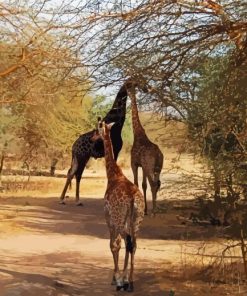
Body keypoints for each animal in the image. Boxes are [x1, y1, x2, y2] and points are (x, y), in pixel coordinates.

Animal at [97, 119, 145, 292]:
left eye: (96, 130)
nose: (93, 137)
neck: (113, 175)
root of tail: (132, 197)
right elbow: (122, 244)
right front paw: (120, 277)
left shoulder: (109, 217)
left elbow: (113, 244)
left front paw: (115, 278)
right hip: (136, 219)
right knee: (133, 244)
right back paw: (130, 282)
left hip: (119, 219)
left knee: (124, 242)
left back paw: (123, 282)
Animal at [127, 84, 164, 214]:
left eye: (129, 86)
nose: (126, 91)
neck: (137, 134)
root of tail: (158, 154)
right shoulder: (142, 166)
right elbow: (143, 185)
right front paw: (145, 209)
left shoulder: (134, 164)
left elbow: (136, 184)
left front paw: (135, 210)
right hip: (158, 167)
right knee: (157, 184)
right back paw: (154, 209)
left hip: (150, 167)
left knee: (153, 184)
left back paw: (154, 212)